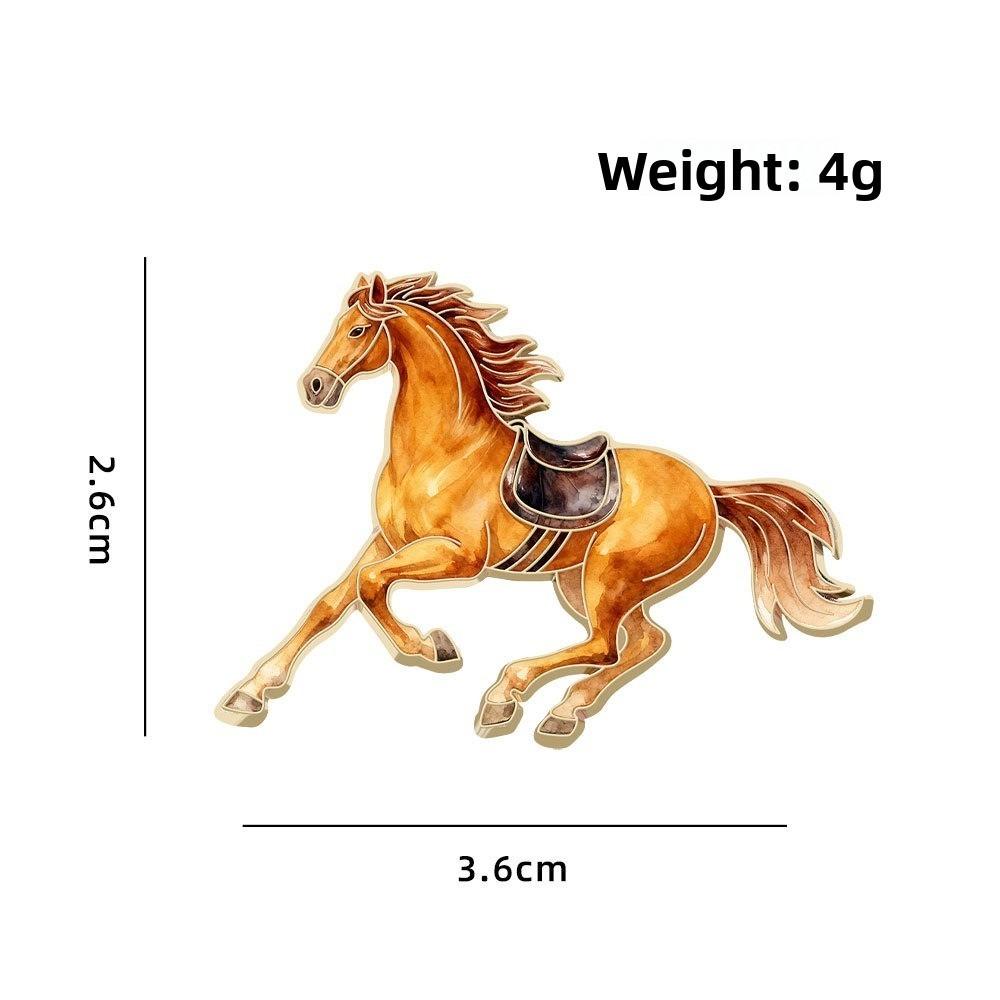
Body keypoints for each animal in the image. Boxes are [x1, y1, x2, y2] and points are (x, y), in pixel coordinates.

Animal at [216, 272, 872, 747]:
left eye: (356, 332)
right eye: (338, 324)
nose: (314, 388)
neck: (443, 447)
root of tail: (711, 490)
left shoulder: (458, 558)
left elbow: (372, 587)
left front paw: (431, 646)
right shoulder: (389, 540)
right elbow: (332, 601)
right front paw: (250, 693)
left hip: (609, 575)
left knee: (608, 645)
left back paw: (505, 697)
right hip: (585, 583)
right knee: (643, 642)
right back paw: (563, 713)